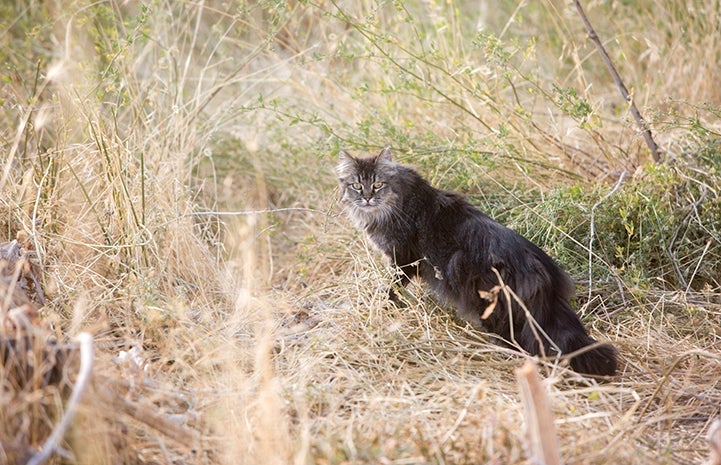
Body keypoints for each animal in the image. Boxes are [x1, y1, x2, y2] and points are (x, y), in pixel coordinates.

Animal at [334, 147, 616, 376]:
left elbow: (391, 288)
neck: (395, 202)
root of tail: (539, 267)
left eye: (378, 184)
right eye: (356, 186)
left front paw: (383, 304)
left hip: (495, 311)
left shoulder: (402, 259)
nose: (367, 197)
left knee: (519, 343)